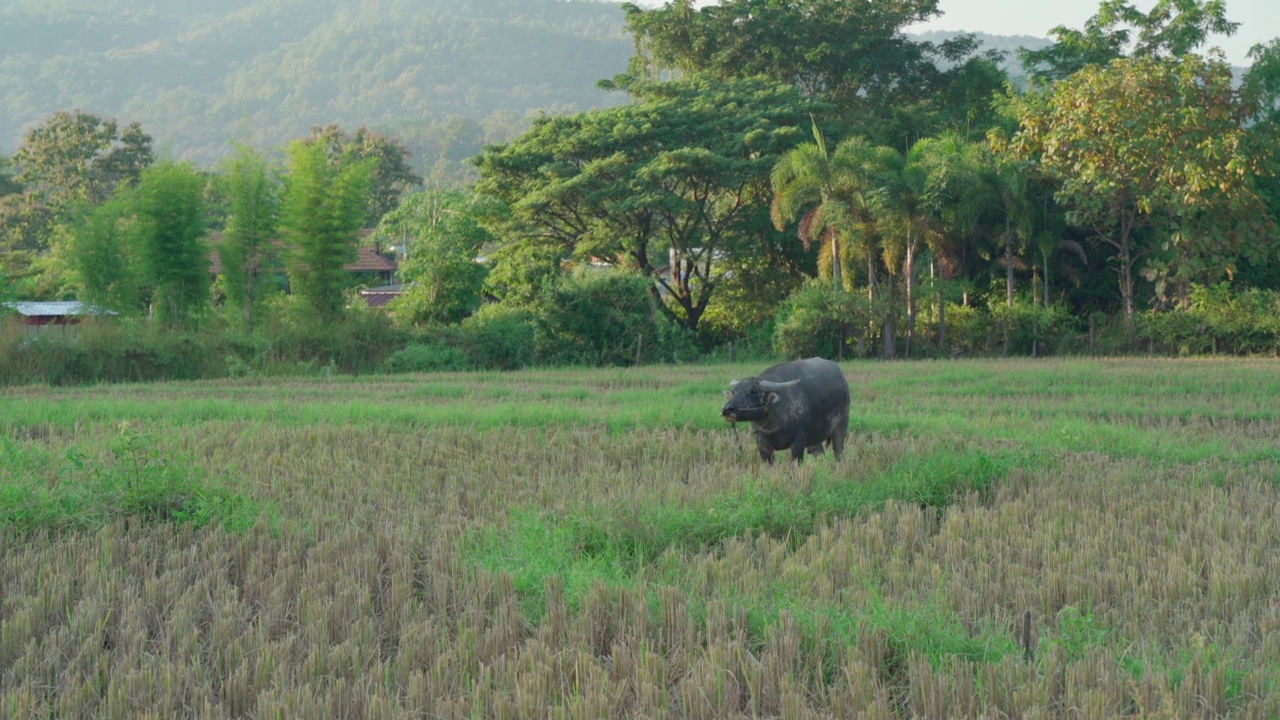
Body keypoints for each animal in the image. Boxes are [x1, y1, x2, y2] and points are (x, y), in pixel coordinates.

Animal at [721, 356, 849, 461]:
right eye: (735, 391)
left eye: (752, 391)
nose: (726, 410)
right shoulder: (763, 446)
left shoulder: (798, 443)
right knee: (818, 453)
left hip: (841, 427)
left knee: (838, 452)